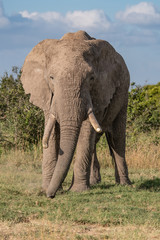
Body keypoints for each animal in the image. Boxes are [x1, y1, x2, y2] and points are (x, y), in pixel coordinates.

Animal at [21, 30, 131, 199]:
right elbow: (52, 130)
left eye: (91, 78)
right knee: (96, 141)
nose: (51, 195)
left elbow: (86, 131)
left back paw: (125, 185)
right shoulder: (47, 94)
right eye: (51, 78)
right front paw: (47, 189)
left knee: (116, 137)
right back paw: (94, 182)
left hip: (124, 92)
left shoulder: (99, 91)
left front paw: (77, 190)